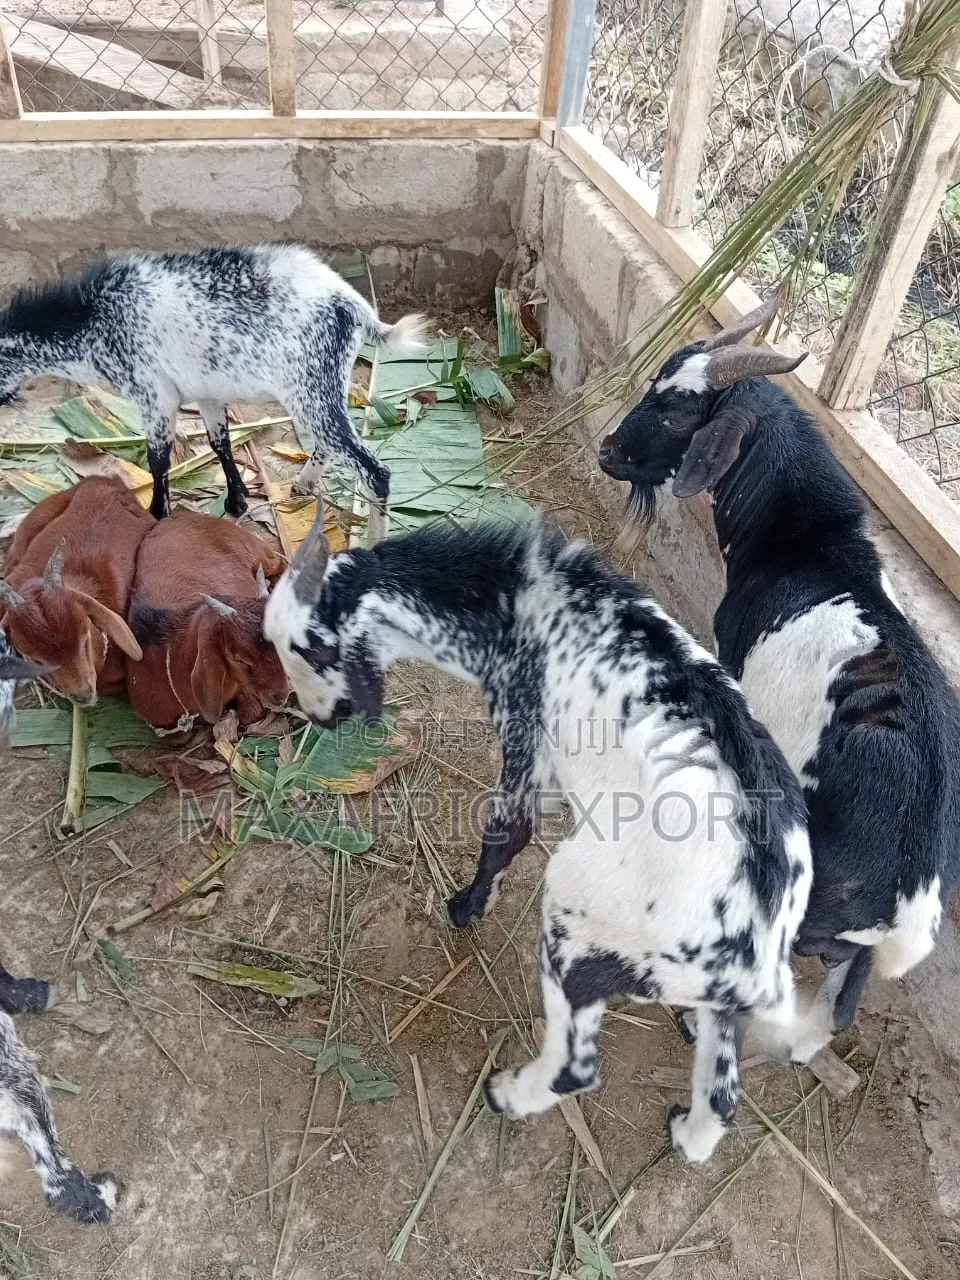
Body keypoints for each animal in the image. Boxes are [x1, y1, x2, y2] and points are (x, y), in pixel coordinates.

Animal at [0, 246, 428, 520]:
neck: (95, 320)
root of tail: (352, 305)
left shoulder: (154, 394)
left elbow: (158, 459)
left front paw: (157, 513)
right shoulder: (206, 394)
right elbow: (219, 443)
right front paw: (237, 502)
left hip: (311, 389)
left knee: (374, 472)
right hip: (321, 389)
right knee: (331, 443)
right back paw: (304, 484)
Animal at [126, 511, 288, 730]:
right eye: (238, 658)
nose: (281, 696)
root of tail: (178, 515)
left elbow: (251, 713)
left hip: (256, 552)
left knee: (280, 564)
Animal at [264, 511, 812, 1161]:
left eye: (313, 648)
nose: (321, 718)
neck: (522, 600)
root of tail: (759, 933)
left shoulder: (526, 734)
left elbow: (507, 833)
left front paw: (466, 907)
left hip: (579, 929)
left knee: (574, 1066)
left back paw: (505, 1093)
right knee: (722, 1097)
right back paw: (686, 1128)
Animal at [597, 290, 960, 1063]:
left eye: (678, 412)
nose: (608, 451)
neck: (809, 545)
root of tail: (913, 896)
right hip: (849, 949)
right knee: (837, 1010)